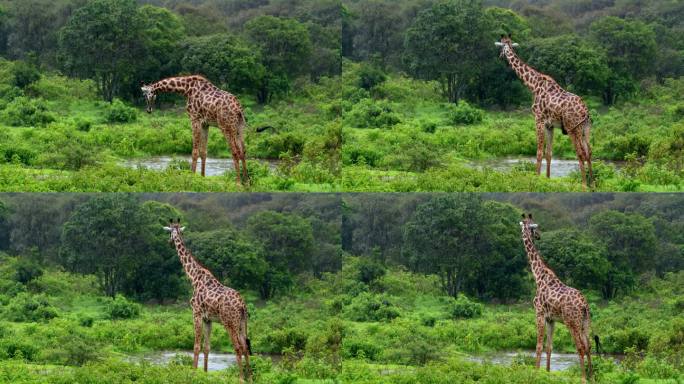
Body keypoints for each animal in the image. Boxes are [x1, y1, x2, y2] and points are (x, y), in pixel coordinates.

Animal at [164, 218, 254, 382]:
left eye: (169, 232)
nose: (169, 242)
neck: (193, 277)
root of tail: (242, 305)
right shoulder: (208, 319)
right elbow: (207, 347)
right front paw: (205, 374)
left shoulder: (196, 313)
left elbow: (196, 346)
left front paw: (192, 373)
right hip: (242, 322)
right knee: (245, 345)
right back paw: (250, 378)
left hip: (229, 322)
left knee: (237, 346)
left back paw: (240, 378)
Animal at [494, 35, 596, 189]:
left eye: (501, 47)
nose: (500, 57)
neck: (533, 85)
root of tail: (586, 112)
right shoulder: (550, 125)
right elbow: (548, 153)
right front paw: (547, 179)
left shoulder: (538, 119)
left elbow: (539, 152)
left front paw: (536, 178)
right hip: (586, 129)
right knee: (589, 151)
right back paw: (594, 183)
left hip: (573, 128)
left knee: (580, 152)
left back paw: (584, 184)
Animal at [520, 214, 592, 382]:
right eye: (534, 228)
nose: (538, 236)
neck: (538, 275)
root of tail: (584, 305)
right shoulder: (551, 318)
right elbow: (549, 347)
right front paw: (547, 373)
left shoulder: (539, 313)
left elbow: (538, 346)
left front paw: (535, 372)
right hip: (585, 321)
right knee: (589, 345)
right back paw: (592, 376)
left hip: (572, 322)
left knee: (580, 347)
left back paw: (583, 378)